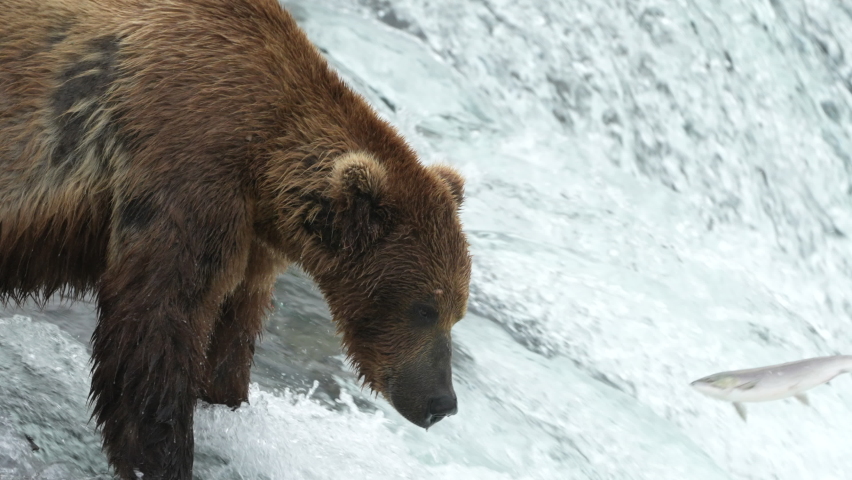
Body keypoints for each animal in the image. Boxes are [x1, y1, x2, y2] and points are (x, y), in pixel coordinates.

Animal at [0, 0, 472, 478]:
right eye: (424, 308)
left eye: (457, 313)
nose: (443, 403)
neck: (263, 160)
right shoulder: (189, 171)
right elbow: (157, 323)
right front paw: (163, 453)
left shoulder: (252, 241)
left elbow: (231, 332)